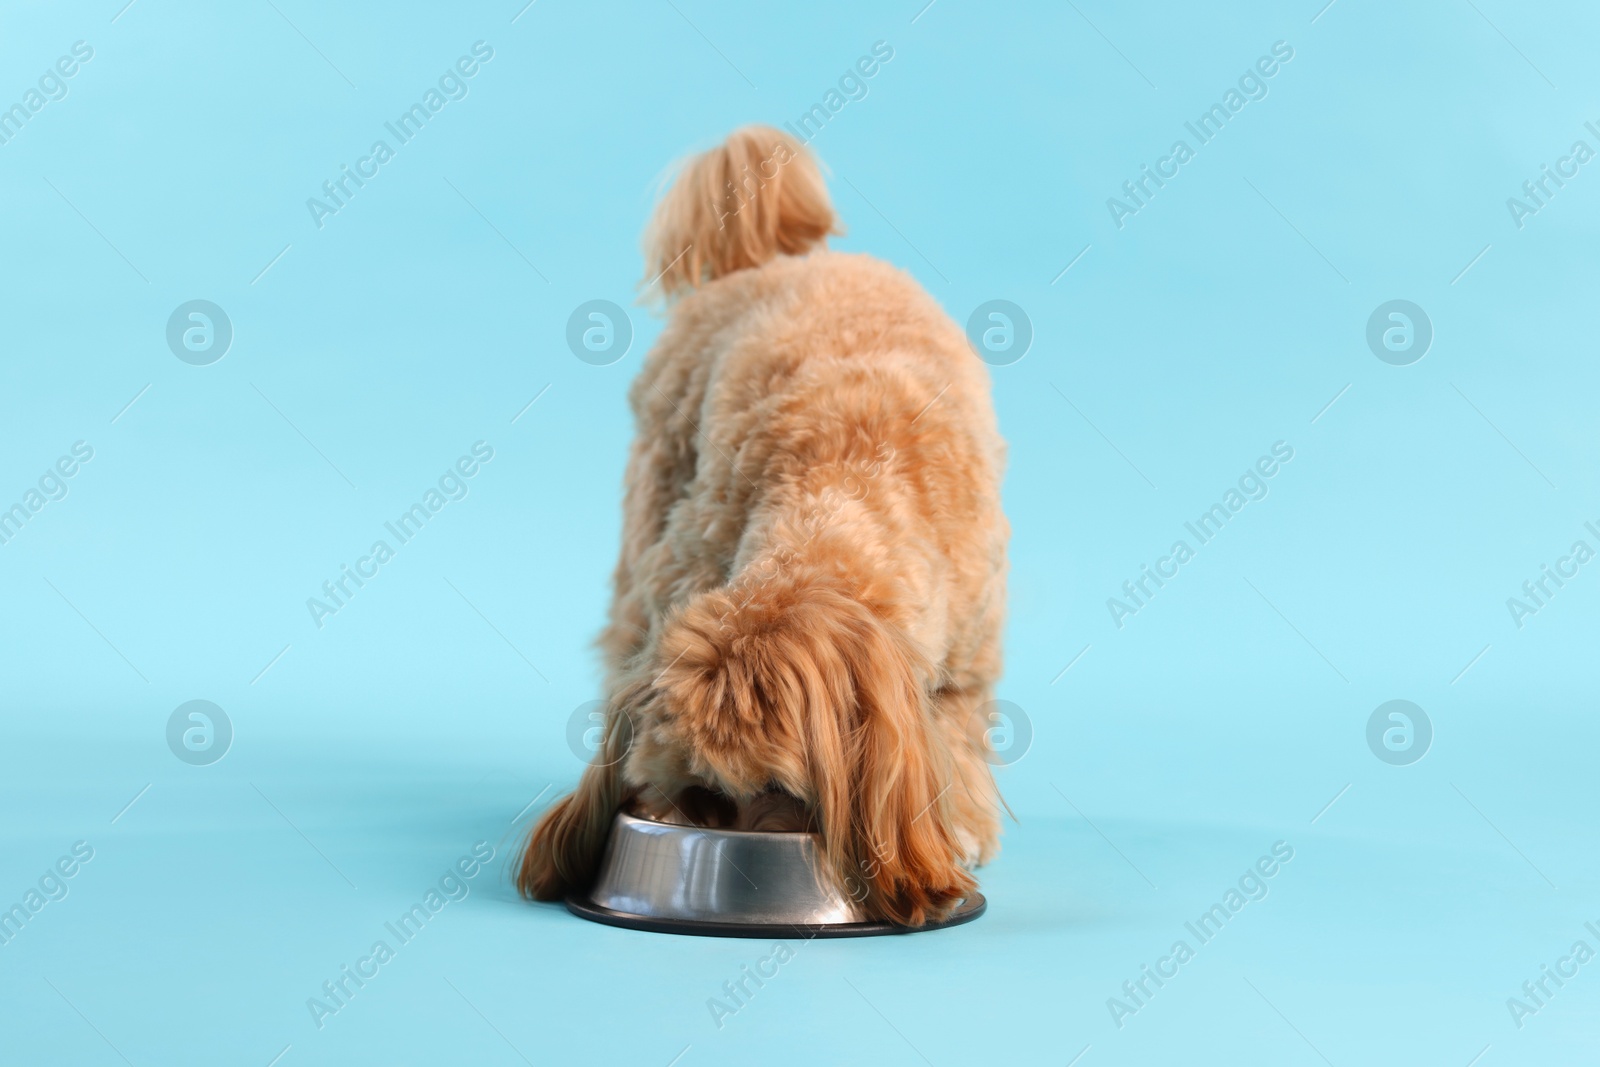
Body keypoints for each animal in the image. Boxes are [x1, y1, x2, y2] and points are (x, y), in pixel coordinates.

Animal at [518, 123, 1004, 927]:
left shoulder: (965, 671)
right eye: (697, 789)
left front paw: (955, 833)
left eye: (781, 792)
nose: (730, 848)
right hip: (653, 505)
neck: (838, 491)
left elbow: (957, 745)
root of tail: (775, 259)